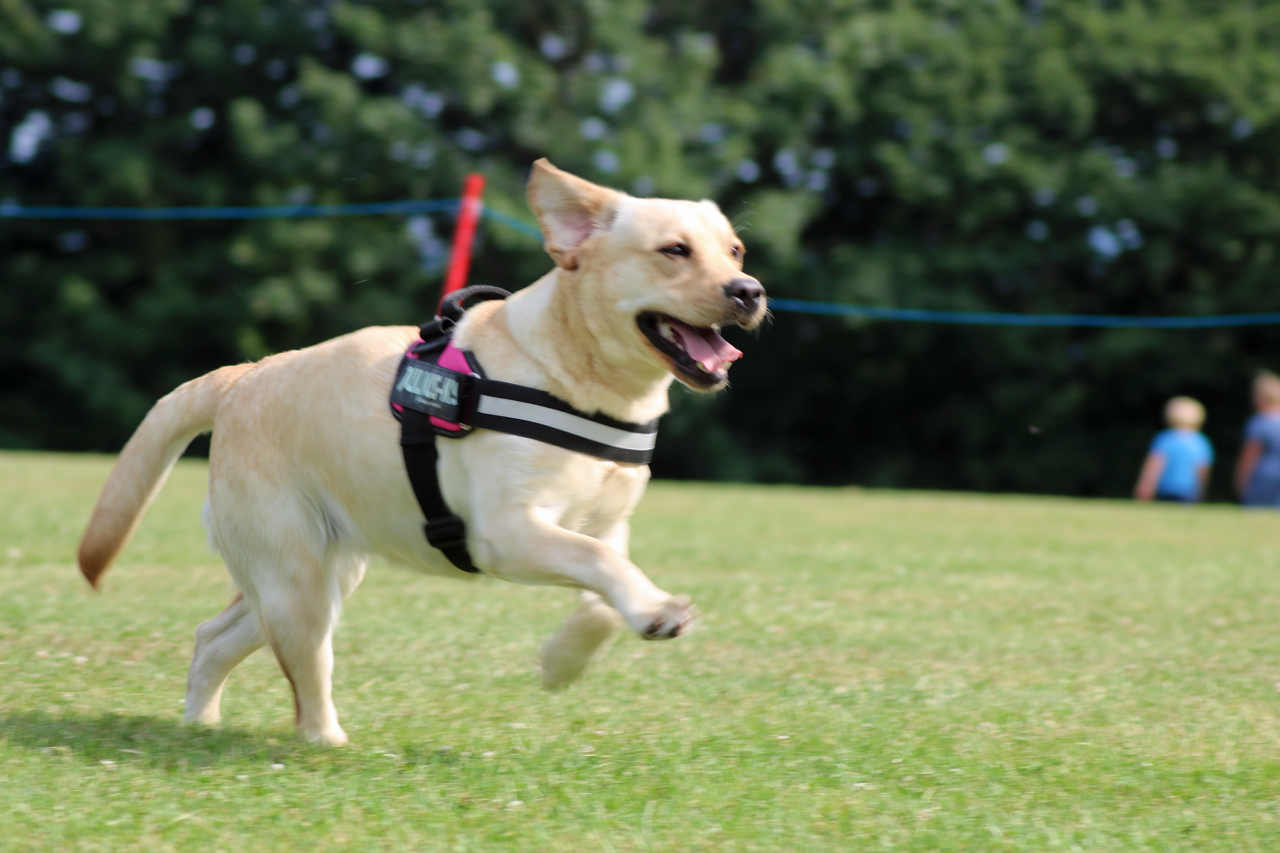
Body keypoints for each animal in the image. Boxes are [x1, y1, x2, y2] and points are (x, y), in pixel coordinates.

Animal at [80, 156, 762, 742]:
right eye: (674, 250)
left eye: (734, 250)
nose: (749, 291)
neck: (586, 382)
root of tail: (242, 377)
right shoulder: (505, 531)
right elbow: (600, 565)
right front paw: (649, 614)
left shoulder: (606, 525)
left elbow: (603, 593)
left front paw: (564, 662)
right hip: (297, 583)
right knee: (305, 683)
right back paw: (329, 744)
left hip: (314, 574)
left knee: (212, 637)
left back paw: (200, 723)